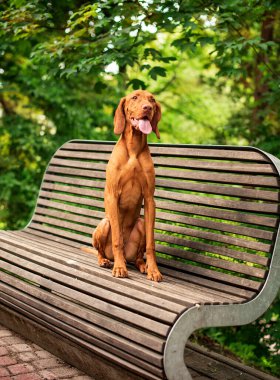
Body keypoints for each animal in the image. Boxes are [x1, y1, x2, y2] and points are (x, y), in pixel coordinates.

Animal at [82, 90, 163, 282]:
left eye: (152, 99)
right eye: (134, 97)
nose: (147, 108)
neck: (133, 149)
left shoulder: (150, 198)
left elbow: (151, 243)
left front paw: (154, 270)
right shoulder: (113, 195)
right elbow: (118, 239)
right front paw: (119, 268)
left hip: (141, 223)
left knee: (138, 256)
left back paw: (142, 265)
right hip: (105, 223)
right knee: (101, 250)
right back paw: (106, 261)